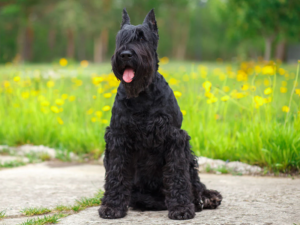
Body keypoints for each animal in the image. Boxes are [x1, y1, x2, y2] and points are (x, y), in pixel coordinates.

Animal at [99, 8, 223, 220]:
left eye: (142, 38)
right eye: (120, 38)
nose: (125, 54)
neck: (141, 95)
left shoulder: (174, 138)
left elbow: (178, 174)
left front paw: (181, 208)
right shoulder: (118, 137)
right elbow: (116, 172)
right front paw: (112, 206)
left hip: (189, 155)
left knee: (194, 181)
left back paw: (205, 197)